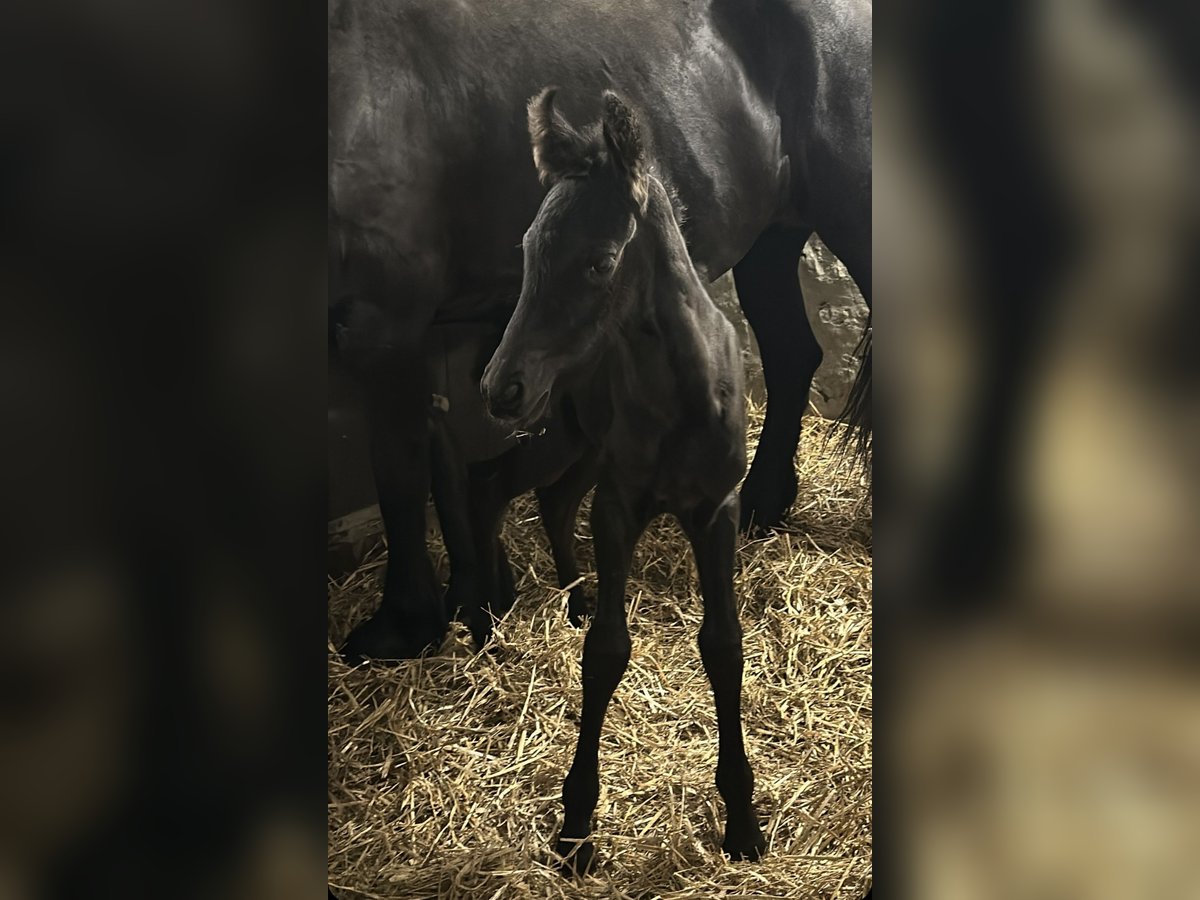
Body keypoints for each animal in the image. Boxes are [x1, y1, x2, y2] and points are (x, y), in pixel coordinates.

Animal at [328, 0, 873, 662]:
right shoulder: (425, 333)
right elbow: (442, 453)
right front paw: (474, 598)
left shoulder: (382, 325)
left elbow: (401, 473)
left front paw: (406, 621)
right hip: (774, 235)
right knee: (792, 354)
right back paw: (762, 504)